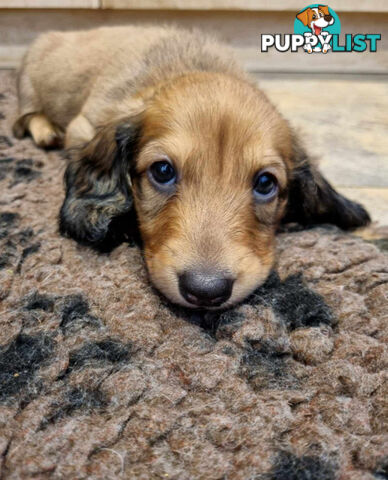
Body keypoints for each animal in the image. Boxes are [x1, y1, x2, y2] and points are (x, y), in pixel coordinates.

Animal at [12, 26, 370, 310]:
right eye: (162, 171)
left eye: (266, 183)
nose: (206, 291)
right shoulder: (83, 126)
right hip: (29, 85)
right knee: (25, 116)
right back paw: (45, 131)